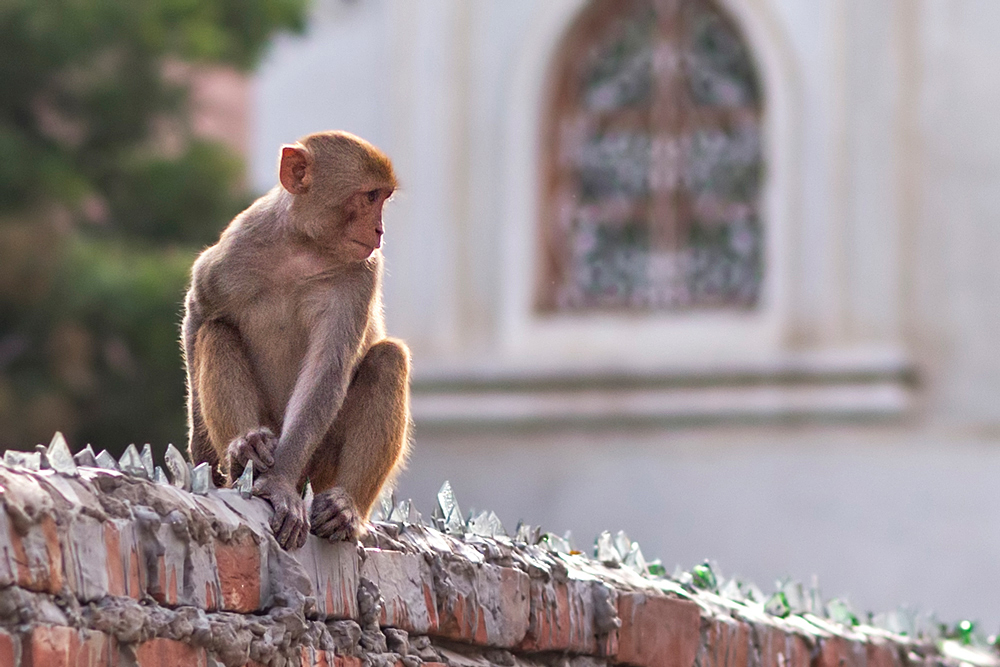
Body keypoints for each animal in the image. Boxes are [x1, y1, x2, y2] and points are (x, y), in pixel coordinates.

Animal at [181, 132, 410, 552]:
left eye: (382, 198)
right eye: (370, 196)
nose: (379, 231)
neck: (303, 247)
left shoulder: (361, 275)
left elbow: (326, 371)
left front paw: (279, 485)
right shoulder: (236, 249)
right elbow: (200, 312)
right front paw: (202, 454)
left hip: (320, 464)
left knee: (388, 359)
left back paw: (345, 507)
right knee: (217, 332)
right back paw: (244, 450)